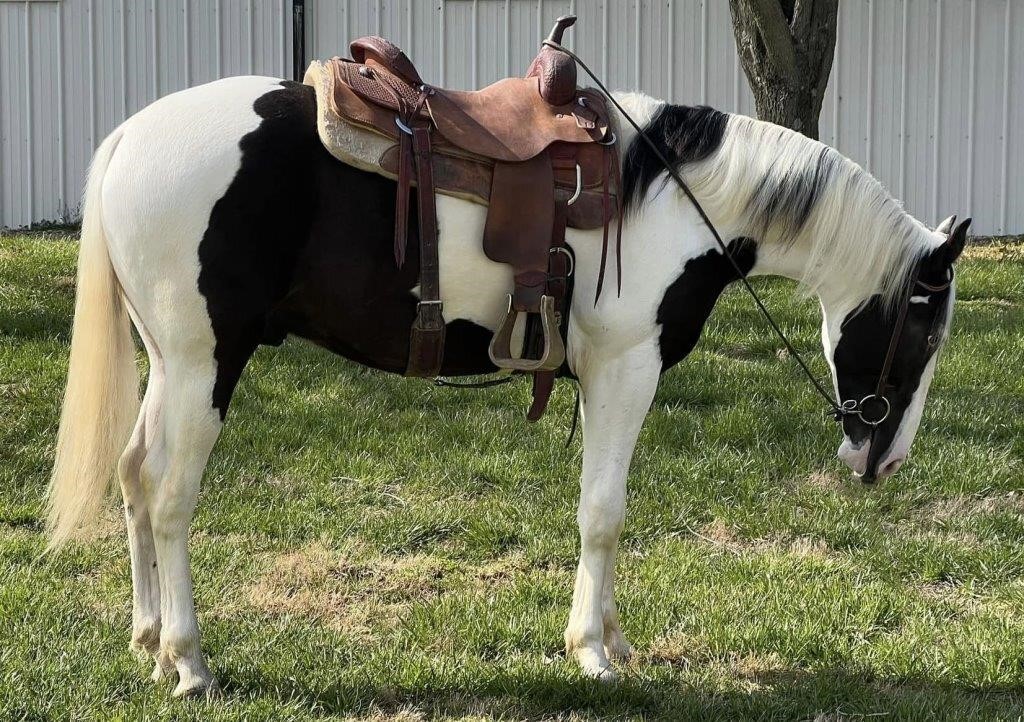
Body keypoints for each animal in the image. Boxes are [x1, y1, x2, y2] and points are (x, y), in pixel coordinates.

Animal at [41, 71, 966, 692]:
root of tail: (129, 140)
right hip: (207, 364)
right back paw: (189, 660)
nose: (885, 460)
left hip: (170, 365)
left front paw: (613, 638)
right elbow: (603, 513)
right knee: (170, 496)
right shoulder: (626, 369)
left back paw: (147, 636)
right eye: (924, 326)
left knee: (132, 477)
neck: (670, 197)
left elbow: (606, 511)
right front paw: (590, 652)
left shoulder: (605, 377)